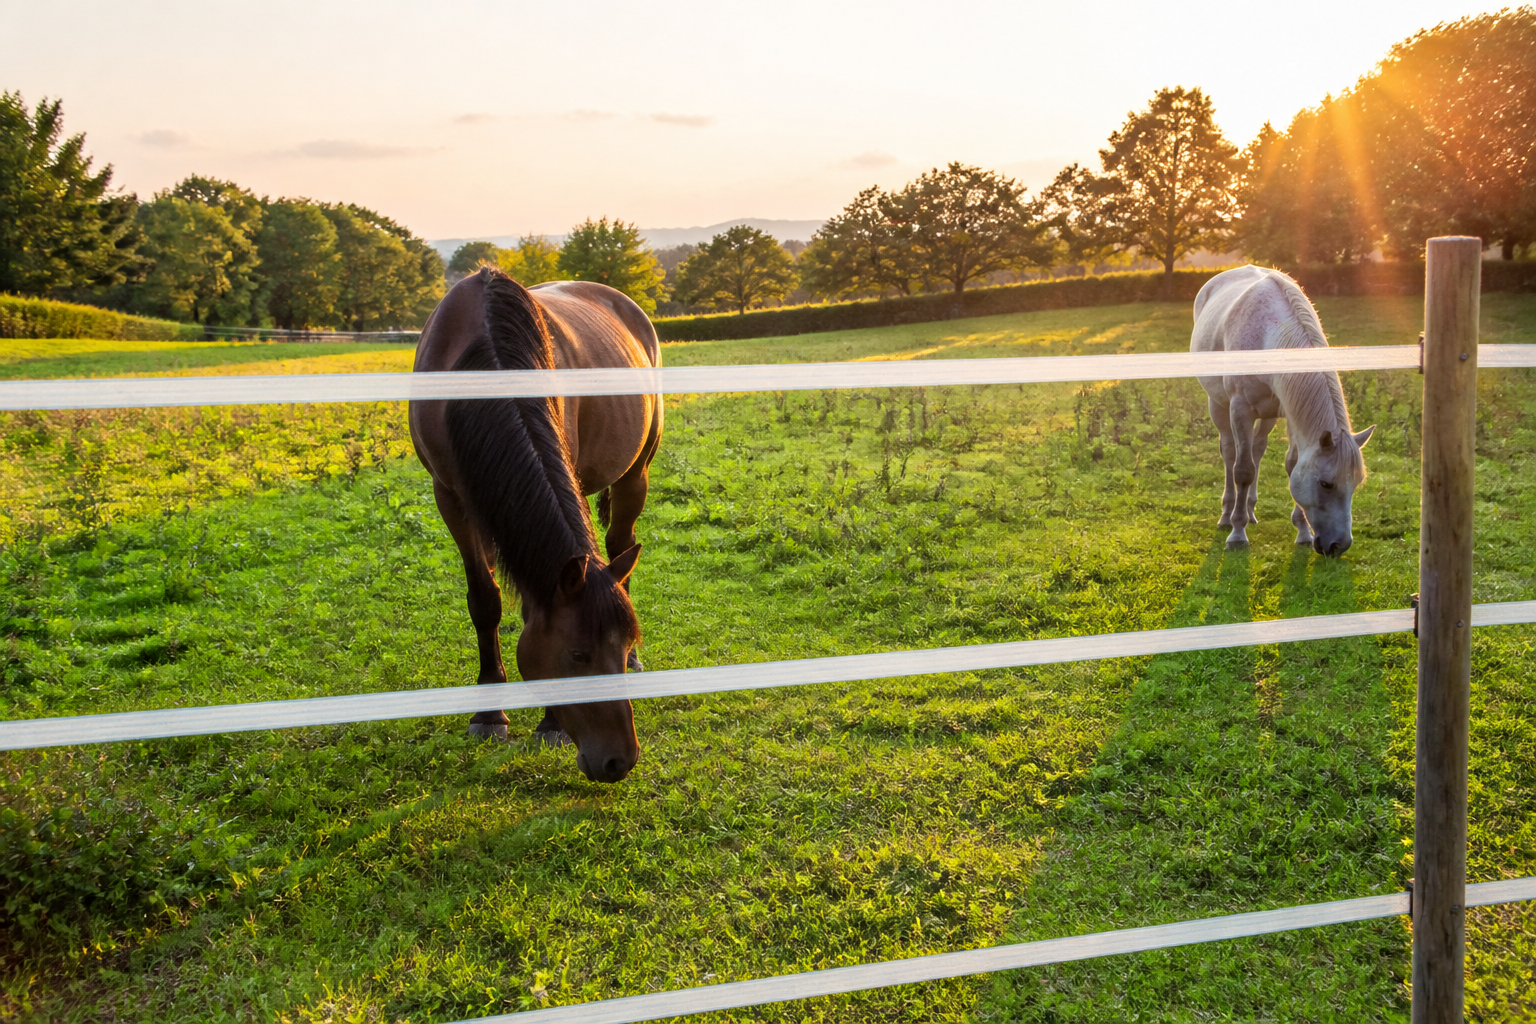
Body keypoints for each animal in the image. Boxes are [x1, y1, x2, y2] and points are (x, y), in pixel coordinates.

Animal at [409, 267, 663, 784]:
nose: (620, 761)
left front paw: (550, 725)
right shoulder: (451, 497)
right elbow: (485, 599)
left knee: (618, 542)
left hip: (635, 472)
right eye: (578, 655)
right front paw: (489, 713)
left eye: (621, 642)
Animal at [1191, 265, 1374, 555]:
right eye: (1325, 483)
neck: (1269, 335)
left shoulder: (1289, 413)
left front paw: (1302, 531)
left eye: (1355, 484)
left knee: (1257, 449)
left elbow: (1290, 464)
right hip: (1218, 405)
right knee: (1230, 453)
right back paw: (1227, 515)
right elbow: (1243, 470)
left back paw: (1250, 511)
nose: (1339, 545)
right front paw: (1237, 534)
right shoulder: (1240, 409)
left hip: (1267, 416)